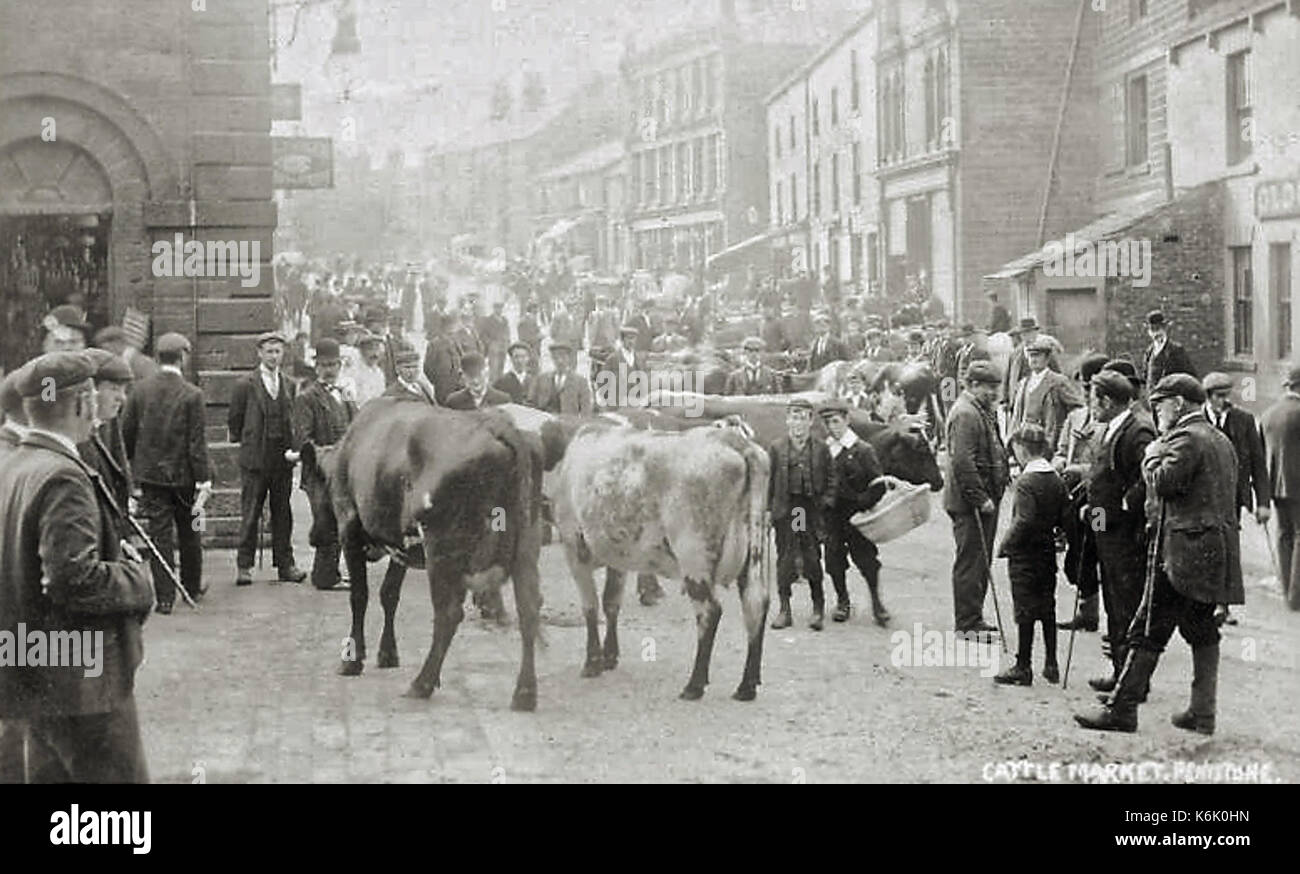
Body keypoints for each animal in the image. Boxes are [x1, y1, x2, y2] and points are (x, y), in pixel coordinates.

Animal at [299, 395, 559, 707]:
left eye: (306, 485)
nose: (314, 537)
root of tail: (497, 425)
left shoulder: (350, 532)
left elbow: (360, 596)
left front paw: (352, 661)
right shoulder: (401, 546)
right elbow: (389, 594)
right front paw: (388, 654)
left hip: (442, 550)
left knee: (448, 614)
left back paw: (422, 683)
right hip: (526, 549)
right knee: (528, 609)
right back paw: (524, 694)